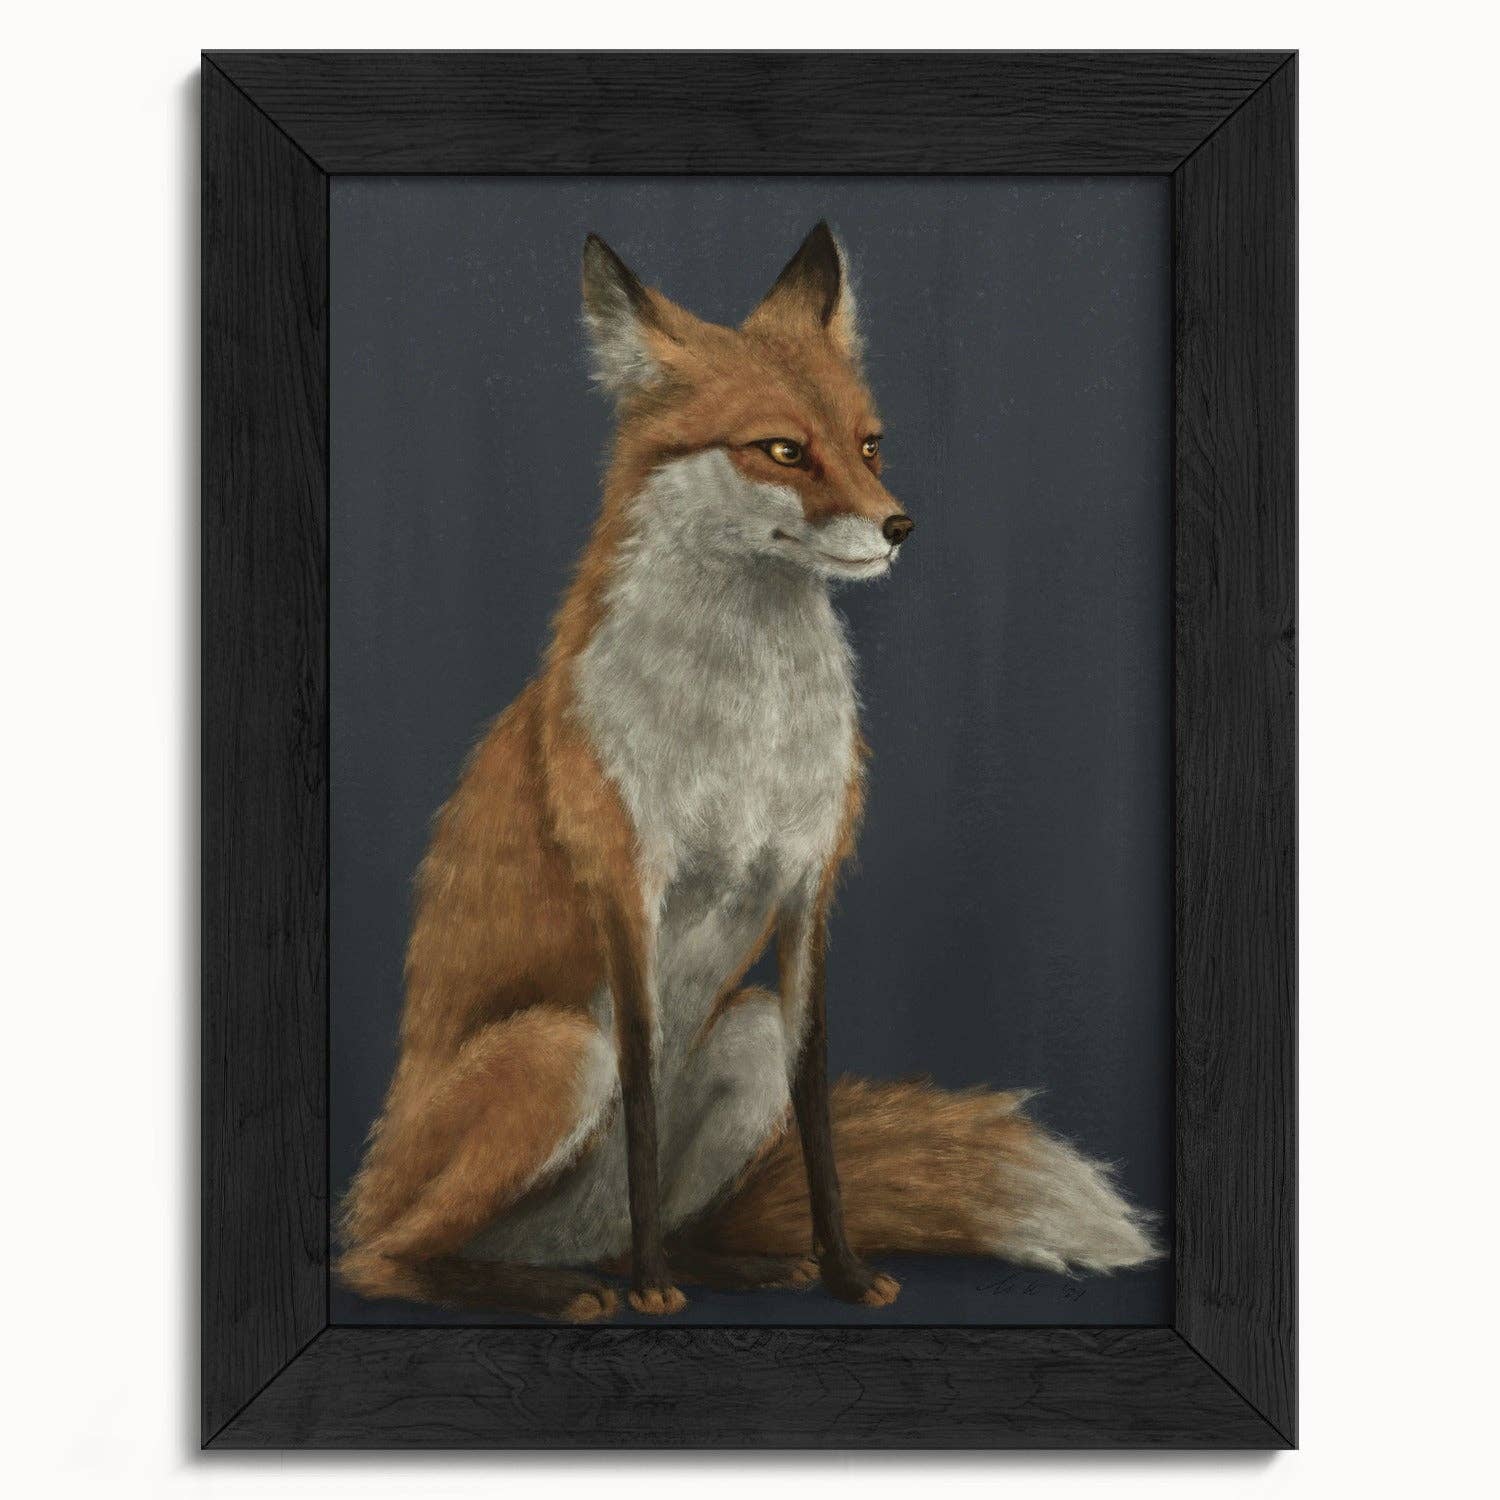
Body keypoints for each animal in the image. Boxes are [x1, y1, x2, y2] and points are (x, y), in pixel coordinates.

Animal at [337, 223, 1159, 1322]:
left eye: (869, 444)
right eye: (781, 450)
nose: (900, 527)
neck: (746, 731)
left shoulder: (809, 889)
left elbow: (817, 1115)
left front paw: (843, 1270)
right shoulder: (628, 890)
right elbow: (643, 1101)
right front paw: (652, 1293)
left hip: (745, 1032)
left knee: (661, 1215)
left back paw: (722, 1264)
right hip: (558, 1052)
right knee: (384, 1258)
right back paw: (567, 1287)